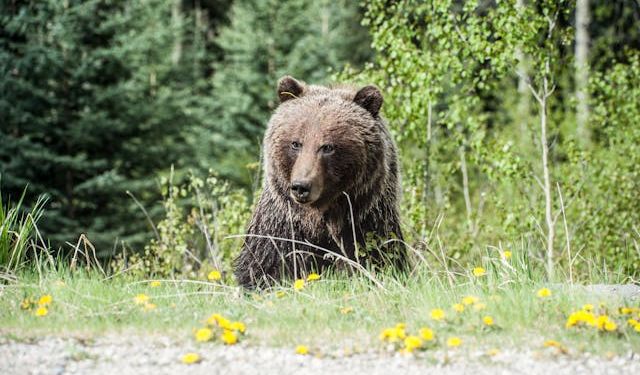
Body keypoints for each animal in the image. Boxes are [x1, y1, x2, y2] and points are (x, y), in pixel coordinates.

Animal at [234, 75, 404, 288]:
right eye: (296, 143)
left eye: (327, 147)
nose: (301, 186)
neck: (320, 219)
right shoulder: (280, 229)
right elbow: (263, 268)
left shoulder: (366, 223)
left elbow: (378, 259)